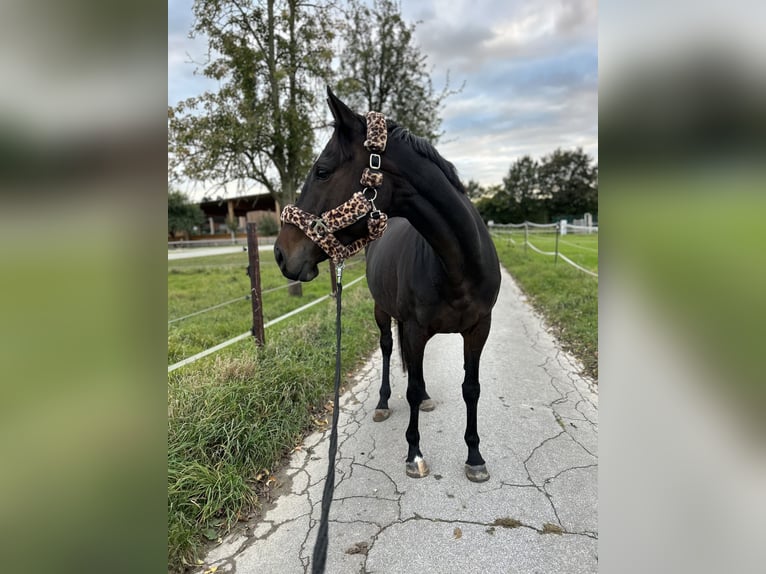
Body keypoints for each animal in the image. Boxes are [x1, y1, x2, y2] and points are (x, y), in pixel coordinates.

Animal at [274, 88, 500, 482]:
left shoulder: (478, 329)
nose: (280, 253)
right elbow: (407, 387)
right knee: (386, 349)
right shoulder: (412, 328)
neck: (457, 267)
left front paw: (474, 457)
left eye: (322, 171)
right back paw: (382, 402)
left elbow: (470, 389)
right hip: (384, 314)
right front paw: (415, 454)